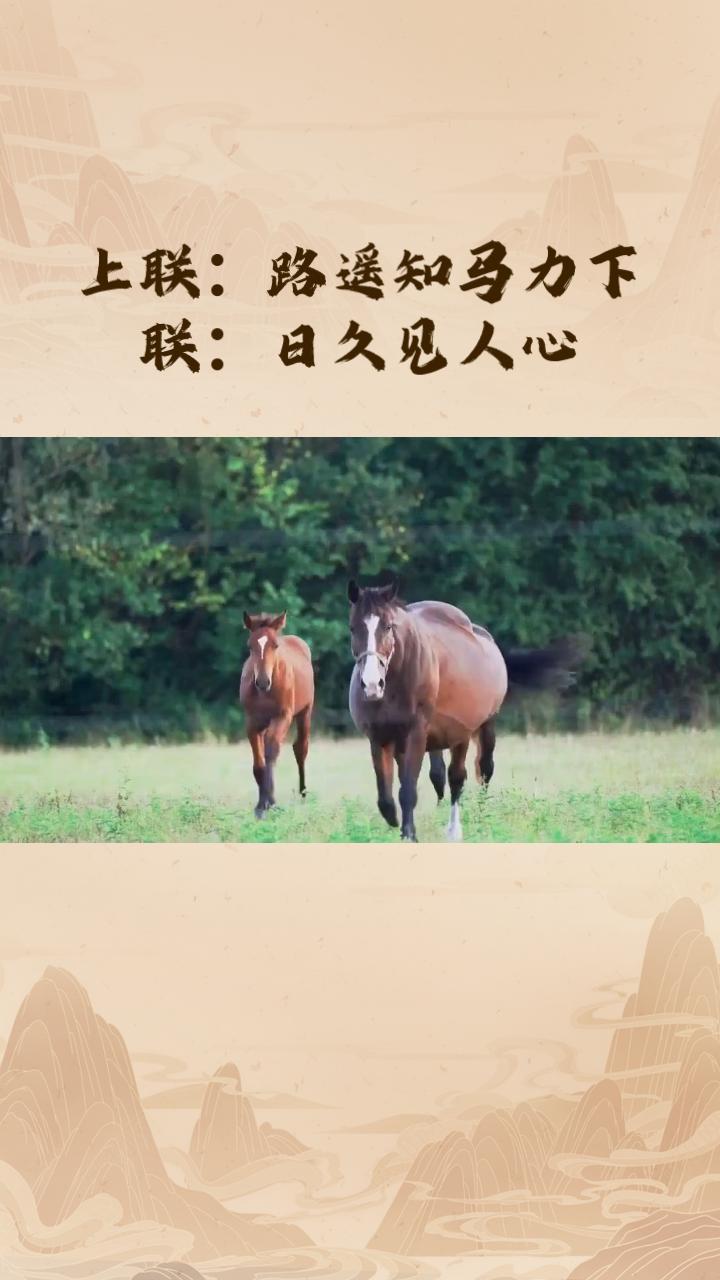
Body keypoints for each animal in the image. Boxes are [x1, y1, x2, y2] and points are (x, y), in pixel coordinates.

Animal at [240, 611, 314, 818]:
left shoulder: (283, 717)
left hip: (305, 712)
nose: (263, 682)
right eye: (250, 646)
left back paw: (303, 794)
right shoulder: (252, 722)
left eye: (275, 645)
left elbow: (271, 751)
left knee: (301, 748)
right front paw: (260, 806)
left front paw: (270, 803)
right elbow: (259, 765)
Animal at [348, 578, 581, 842]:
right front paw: (395, 824)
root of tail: (486, 638)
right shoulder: (379, 738)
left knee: (472, 773)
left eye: (387, 627)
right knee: (442, 776)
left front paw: (409, 835)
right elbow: (386, 797)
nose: (372, 684)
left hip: (477, 730)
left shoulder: (416, 734)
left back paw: (464, 825)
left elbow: (408, 790)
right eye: (353, 628)